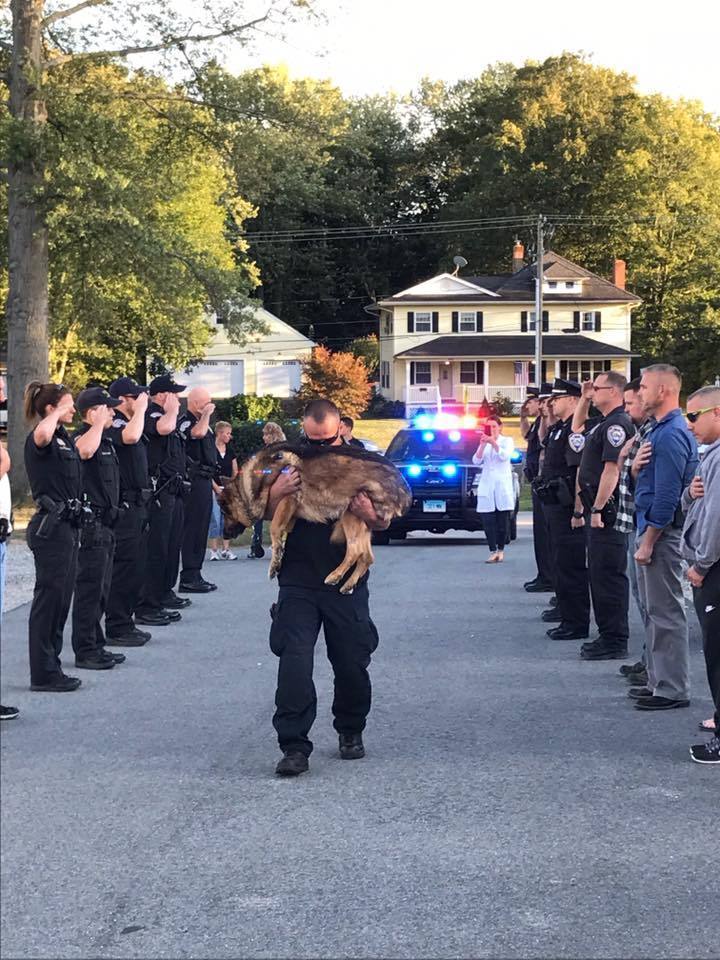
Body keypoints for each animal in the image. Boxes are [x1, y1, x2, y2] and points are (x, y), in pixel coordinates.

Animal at [219, 444, 410, 592]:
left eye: (224, 512)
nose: (224, 535)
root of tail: (405, 489)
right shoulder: (289, 512)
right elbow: (281, 529)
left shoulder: (288, 497)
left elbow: (274, 529)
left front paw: (275, 563)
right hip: (362, 520)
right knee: (367, 557)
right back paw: (348, 584)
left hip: (351, 511)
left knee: (355, 551)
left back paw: (335, 576)